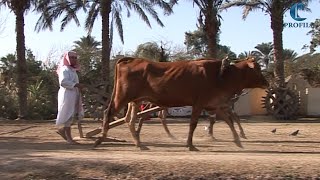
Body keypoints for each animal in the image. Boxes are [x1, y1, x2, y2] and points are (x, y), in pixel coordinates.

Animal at [94, 57, 268, 150]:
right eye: (257, 69)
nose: (266, 82)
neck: (221, 75)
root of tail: (131, 59)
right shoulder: (199, 104)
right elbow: (193, 124)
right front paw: (190, 144)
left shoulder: (214, 105)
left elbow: (229, 121)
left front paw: (238, 141)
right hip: (122, 97)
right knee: (108, 113)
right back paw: (100, 139)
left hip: (135, 101)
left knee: (130, 120)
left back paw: (139, 143)